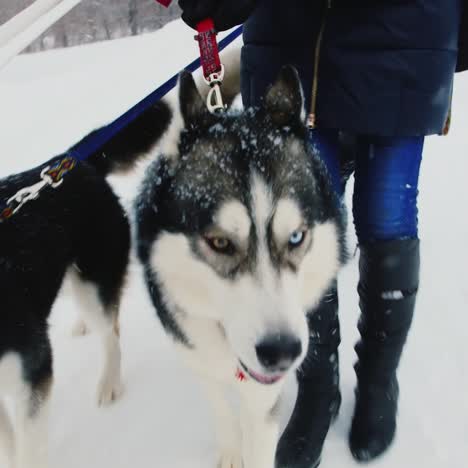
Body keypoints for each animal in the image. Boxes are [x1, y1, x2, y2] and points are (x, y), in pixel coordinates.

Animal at [132, 66, 348, 468]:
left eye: (296, 237)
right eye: (220, 242)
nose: (282, 351)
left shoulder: (262, 398)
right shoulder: (196, 354)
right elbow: (219, 405)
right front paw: (231, 450)